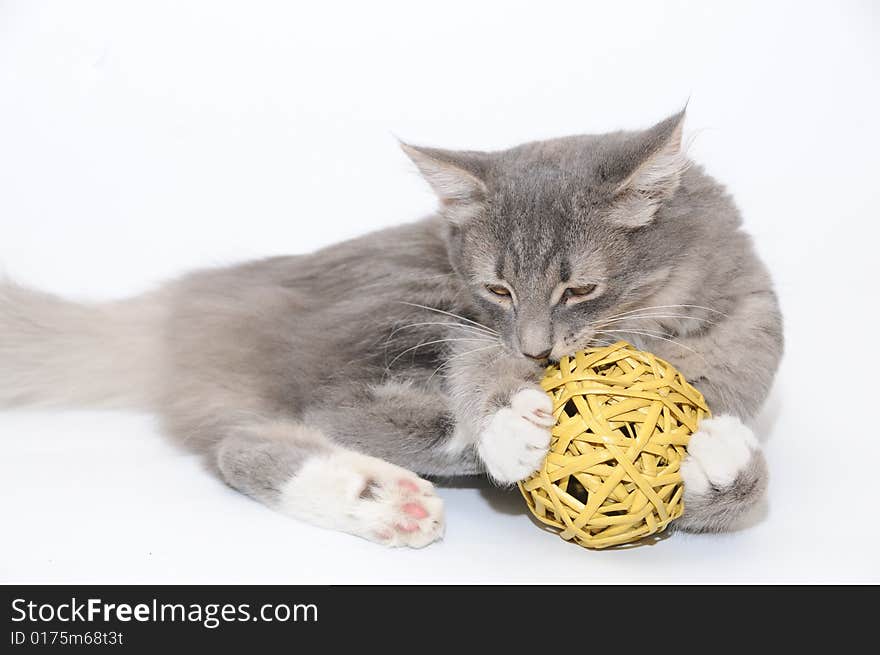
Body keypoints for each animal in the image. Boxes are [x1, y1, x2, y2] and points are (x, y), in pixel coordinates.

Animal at [0, 111, 784, 548]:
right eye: (498, 288)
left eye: (580, 289)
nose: (534, 350)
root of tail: (184, 303)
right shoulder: (470, 323)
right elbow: (478, 374)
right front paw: (510, 422)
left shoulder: (755, 335)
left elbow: (743, 491)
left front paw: (718, 454)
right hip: (402, 300)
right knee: (330, 413)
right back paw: (405, 486)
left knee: (248, 440)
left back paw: (375, 498)